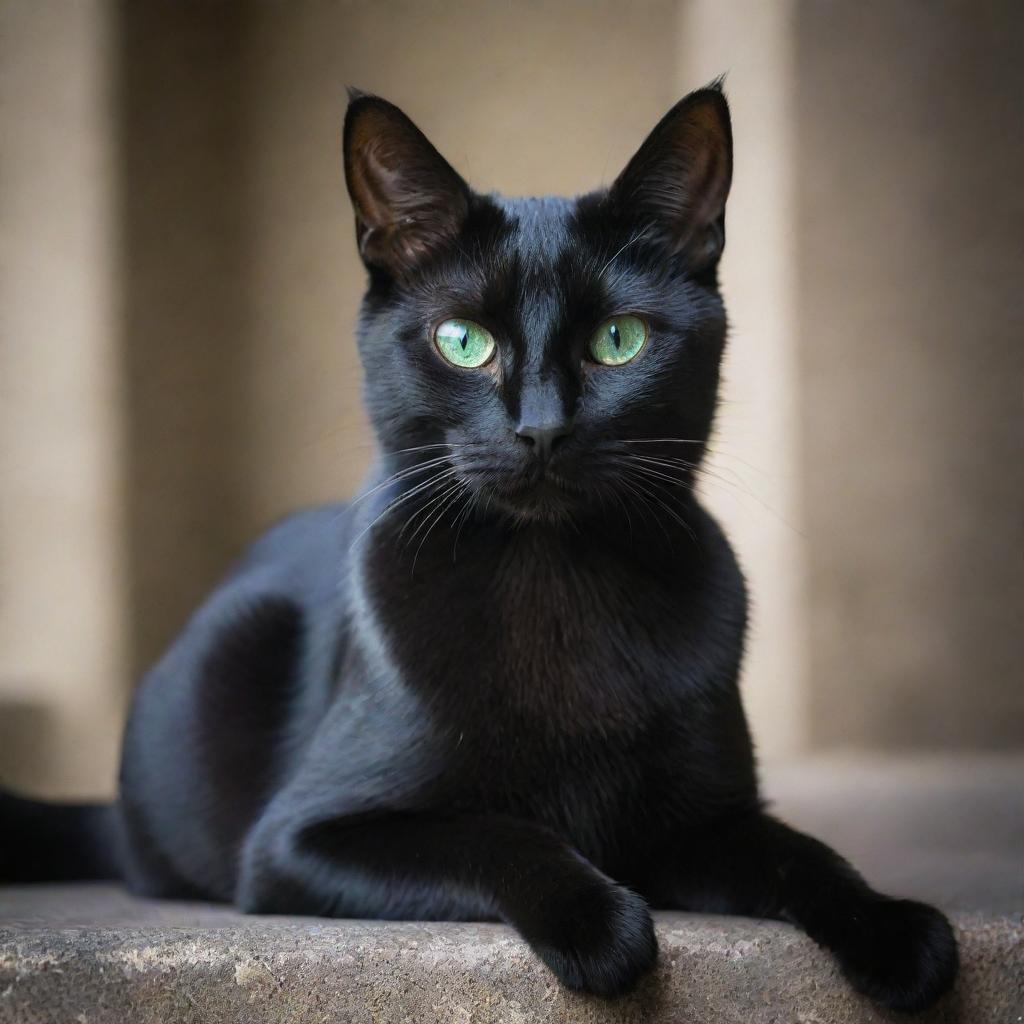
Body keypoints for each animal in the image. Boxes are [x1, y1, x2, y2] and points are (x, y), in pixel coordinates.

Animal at [2, 83, 958, 1011]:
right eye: (463, 341)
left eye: (619, 341)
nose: (541, 428)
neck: (554, 578)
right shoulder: (299, 839)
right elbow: (495, 831)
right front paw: (603, 925)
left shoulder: (705, 822)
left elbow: (807, 854)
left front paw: (899, 933)